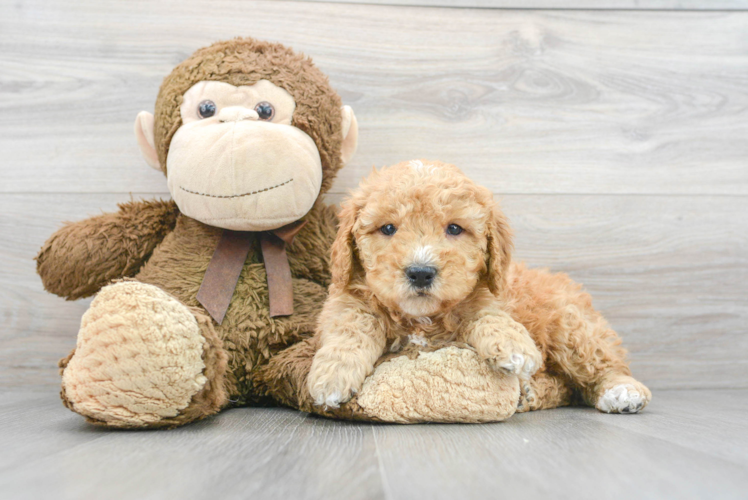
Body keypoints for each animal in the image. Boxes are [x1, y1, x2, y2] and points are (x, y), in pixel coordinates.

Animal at [306, 160, 652, 414]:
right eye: (388, 228)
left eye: (454, 228)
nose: (420, 273)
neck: (421, 317)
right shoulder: (345, 302)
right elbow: (353, 327)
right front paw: (332, 375)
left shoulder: (489, 297)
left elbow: (488, 315)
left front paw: (514, 345)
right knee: (564, 387)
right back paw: (529, 393)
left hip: (572, 328)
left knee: (602, 364)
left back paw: (622, 390)